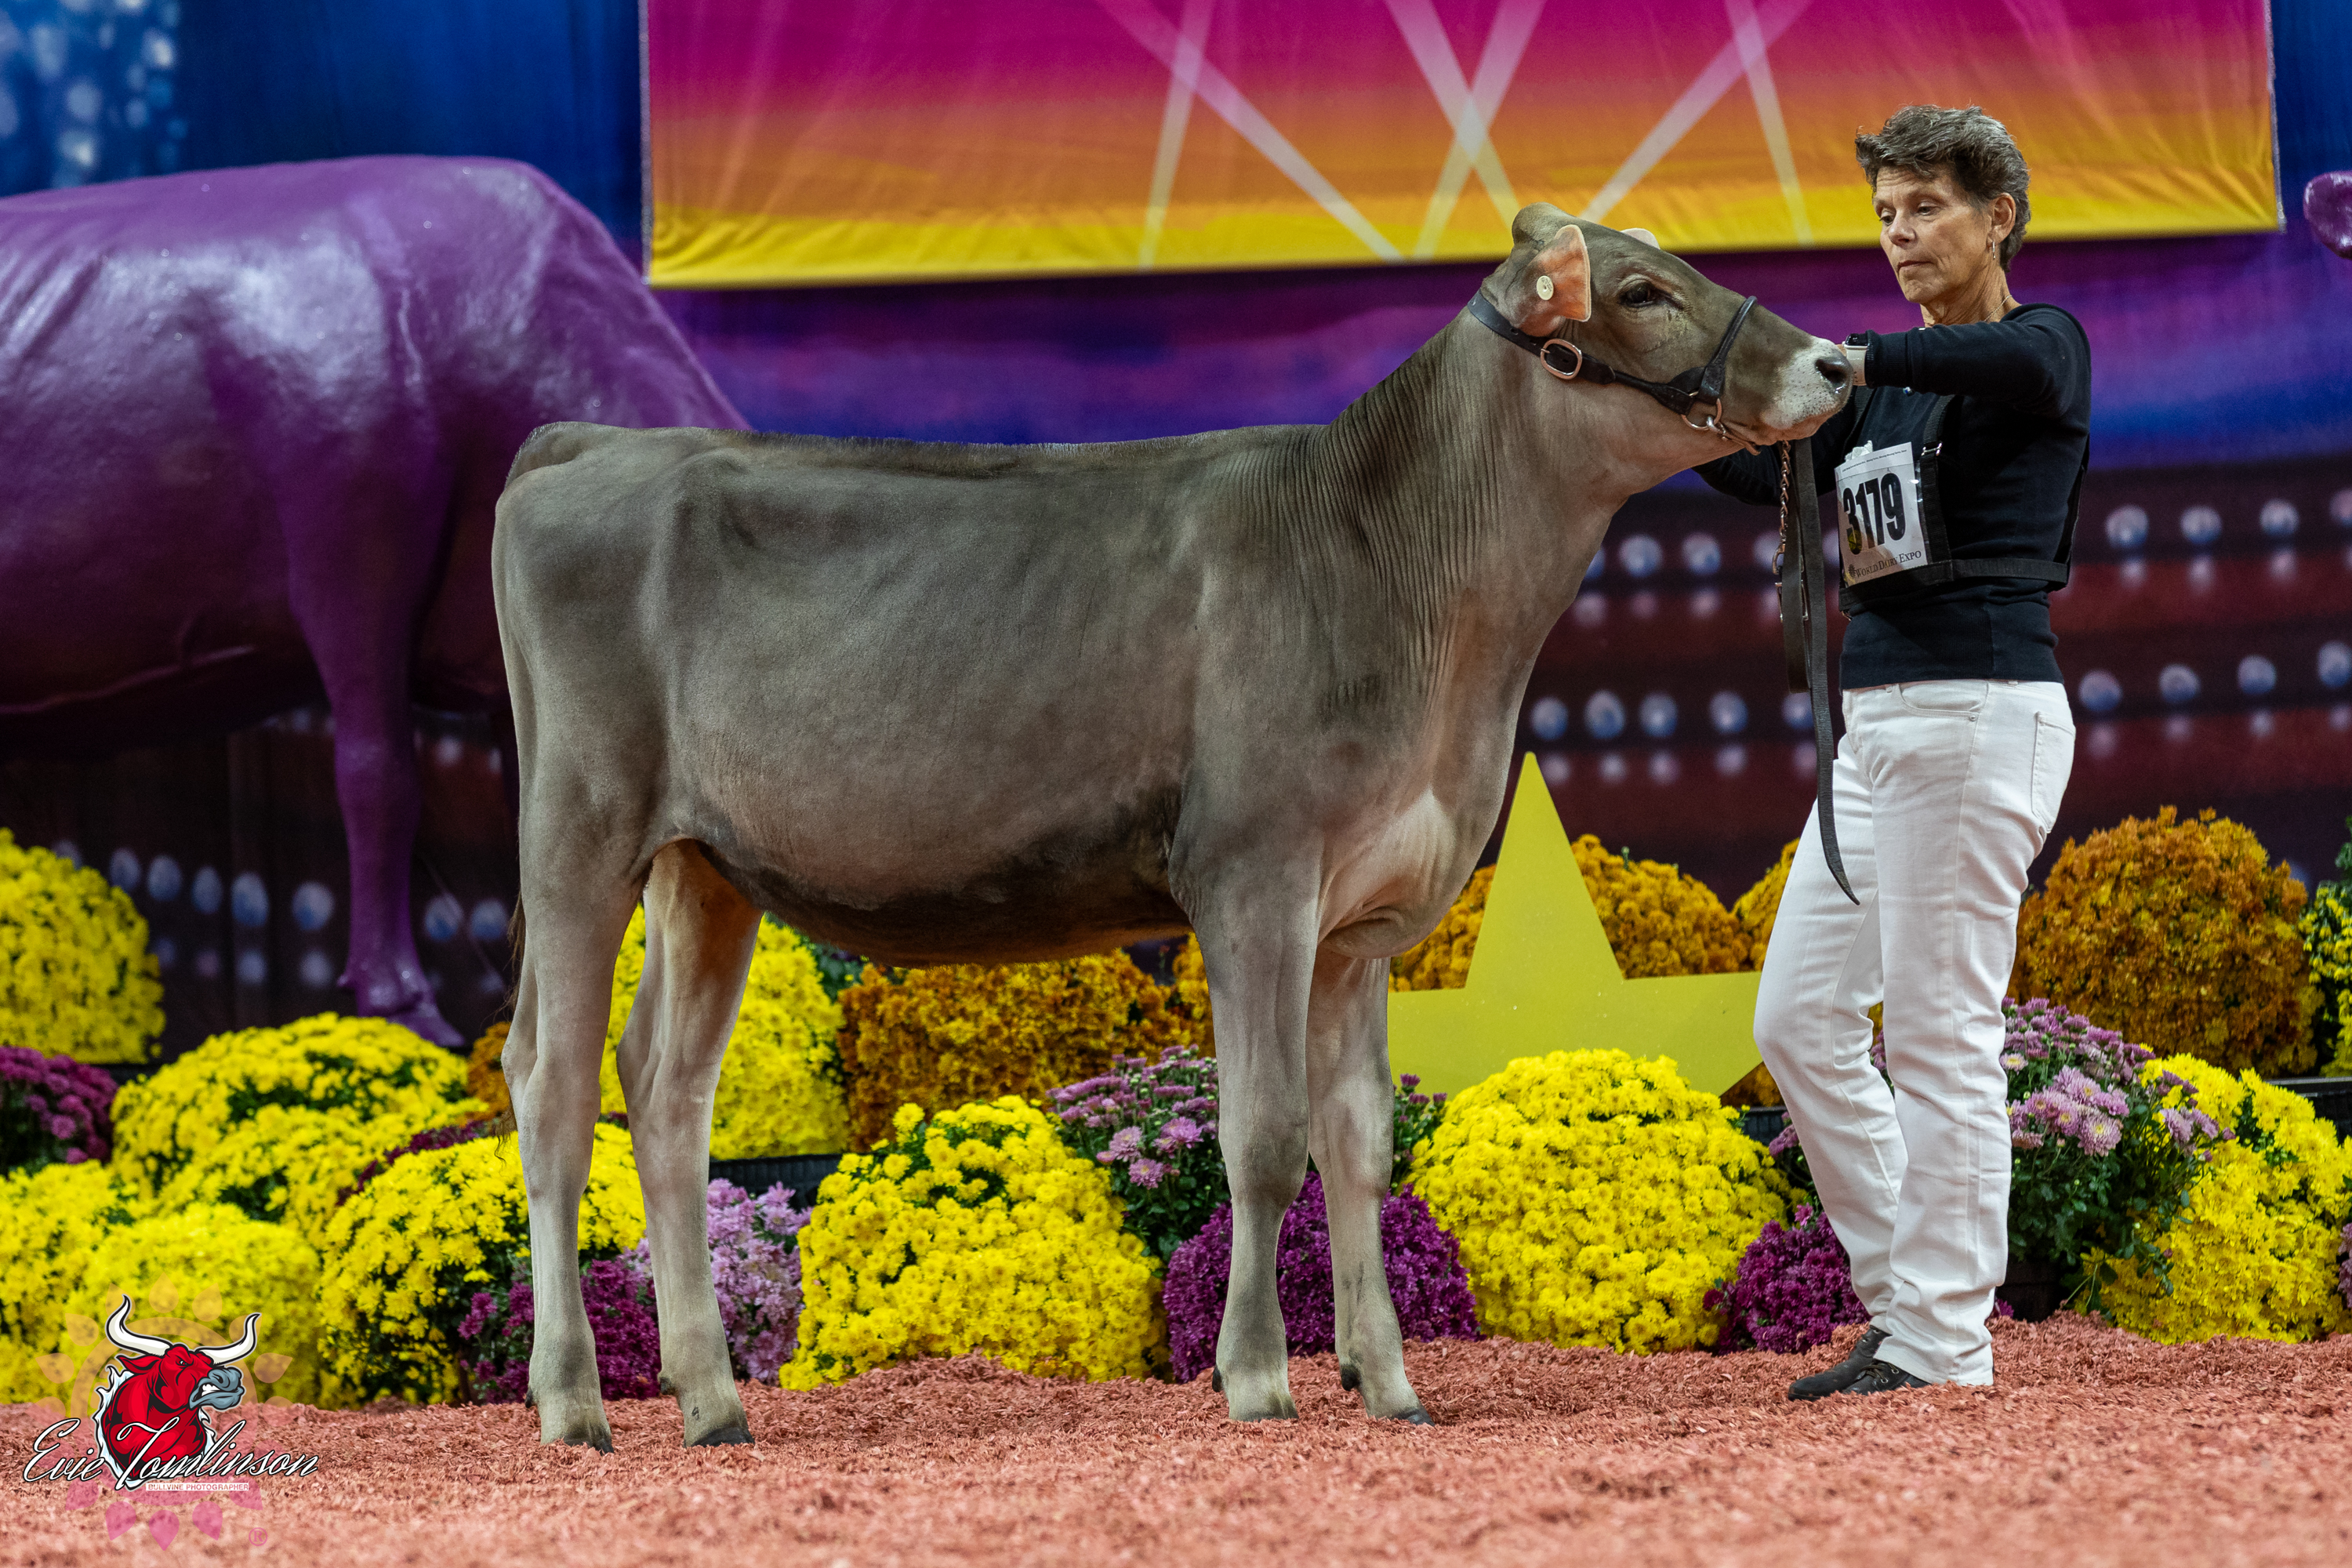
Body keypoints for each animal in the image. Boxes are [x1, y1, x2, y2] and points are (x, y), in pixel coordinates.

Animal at [493, 203, 1851, 1447]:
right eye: (1643, 291)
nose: (1838, 363)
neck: (1417, 593)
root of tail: (586, 444)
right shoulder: (1257, 874)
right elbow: (1266, 1134)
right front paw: (1255, 1377)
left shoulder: (1358, 916)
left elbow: (1359, 1140)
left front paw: (1389, 1384)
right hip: (577, 830)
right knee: (554, 1086)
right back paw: (573, 1401)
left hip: (704, 866)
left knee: (664, 1090)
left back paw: (712, 1399)